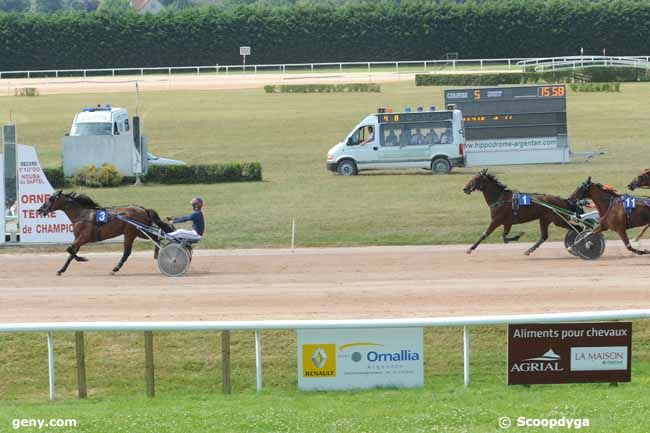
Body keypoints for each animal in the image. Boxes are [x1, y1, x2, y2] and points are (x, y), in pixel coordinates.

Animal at [37, 191, 172, 276]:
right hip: (140, 232)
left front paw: (83, 259)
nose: (39, 210)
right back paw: (158, 253)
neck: (82, 215)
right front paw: (61, 270)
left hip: (131, 233)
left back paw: (115, 269)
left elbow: (69, 249)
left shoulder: (84, 237)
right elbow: (71, 253)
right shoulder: (78, 238)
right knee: (156, 236)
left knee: (127, 252)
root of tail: (143, 209)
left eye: (51, 199)